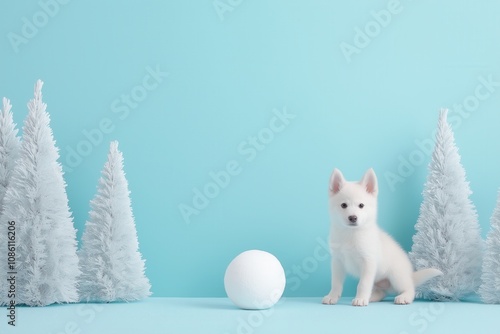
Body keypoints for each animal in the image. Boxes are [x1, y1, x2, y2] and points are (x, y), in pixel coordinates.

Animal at [320, 168, 442, 306]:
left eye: (361, 205)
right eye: (343, 205)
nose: (353, 218)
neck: (351, 234)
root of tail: (410, 275)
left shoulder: (368, 262)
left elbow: (363, 284)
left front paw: (360, 298)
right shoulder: (338, 262)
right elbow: (336, 283)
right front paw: (332, 296)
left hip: (396, 276)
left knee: (410, 289)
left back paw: (403, 297)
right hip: (379, 282)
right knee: (381, 292)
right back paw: (372, 297)